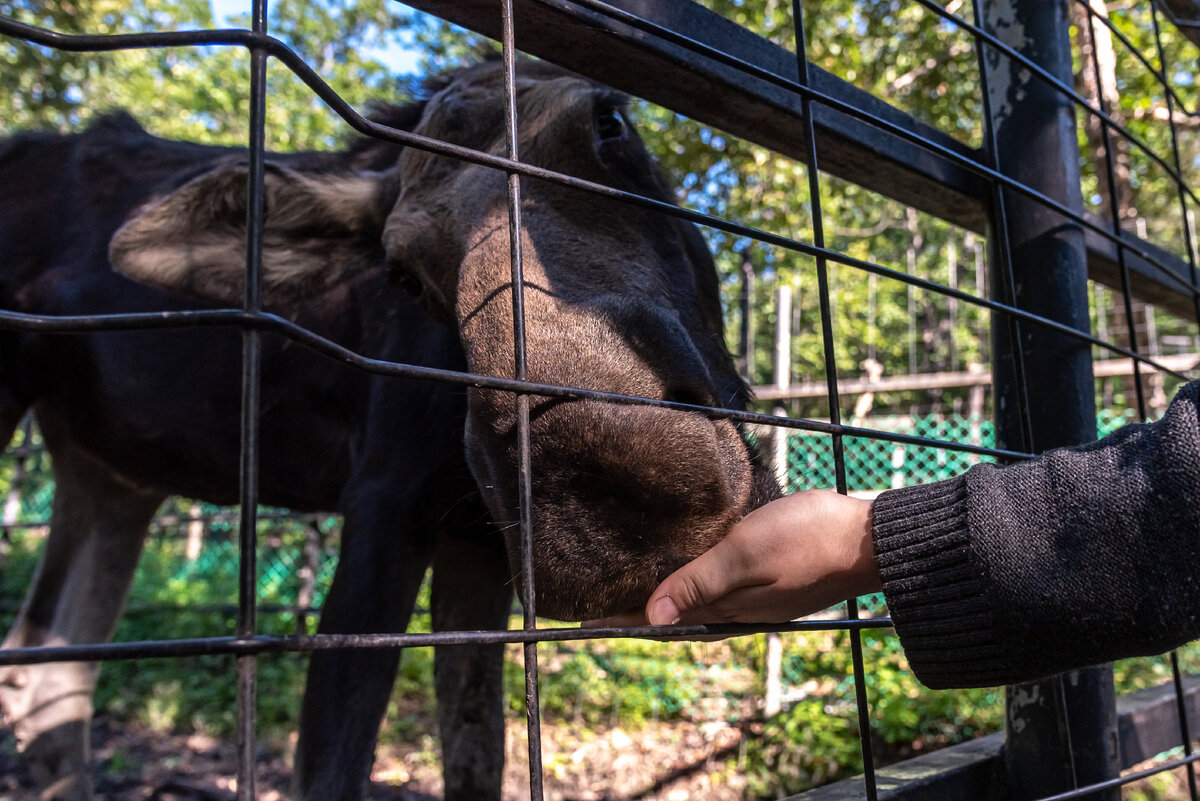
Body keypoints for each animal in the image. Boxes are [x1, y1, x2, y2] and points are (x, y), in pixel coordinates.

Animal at [0, 61, 777, 801]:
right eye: (402, 274)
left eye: (609, 122)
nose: (609, 502)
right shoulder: (384, 499)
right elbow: (332, 767)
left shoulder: (479, 541)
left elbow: (478, 757)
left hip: (113, 472)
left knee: (52, 676)